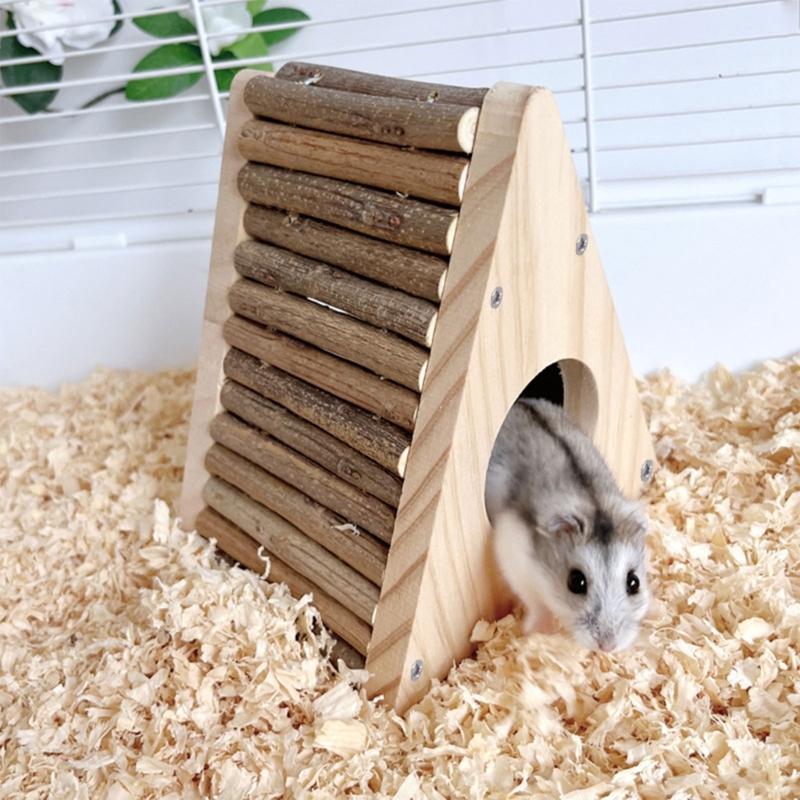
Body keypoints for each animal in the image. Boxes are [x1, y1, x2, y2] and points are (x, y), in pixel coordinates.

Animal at [485, 397, 650, 652]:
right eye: (576, 582)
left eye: (634, 583)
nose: (608, 647)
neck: (593, 502)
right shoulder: (514, 557)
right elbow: (536, 602)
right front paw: (541, 630)